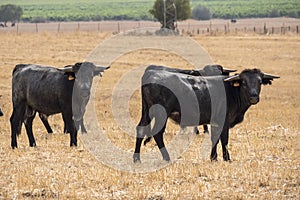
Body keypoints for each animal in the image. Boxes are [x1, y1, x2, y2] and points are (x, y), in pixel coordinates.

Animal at [134, 65, 278, 162]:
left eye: (259, 82)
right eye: (244, 82)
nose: (254, 97)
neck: (231, 90)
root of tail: (151, 73)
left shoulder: (214, 123)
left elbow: (215, 138)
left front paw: (213, 157)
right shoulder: (223, 122)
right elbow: (224, 139)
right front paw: (227, 158)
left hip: (147, 112)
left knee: (140, 129)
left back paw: (137, 158)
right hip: (161, 114)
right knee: (158, 134)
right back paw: (167, 157)